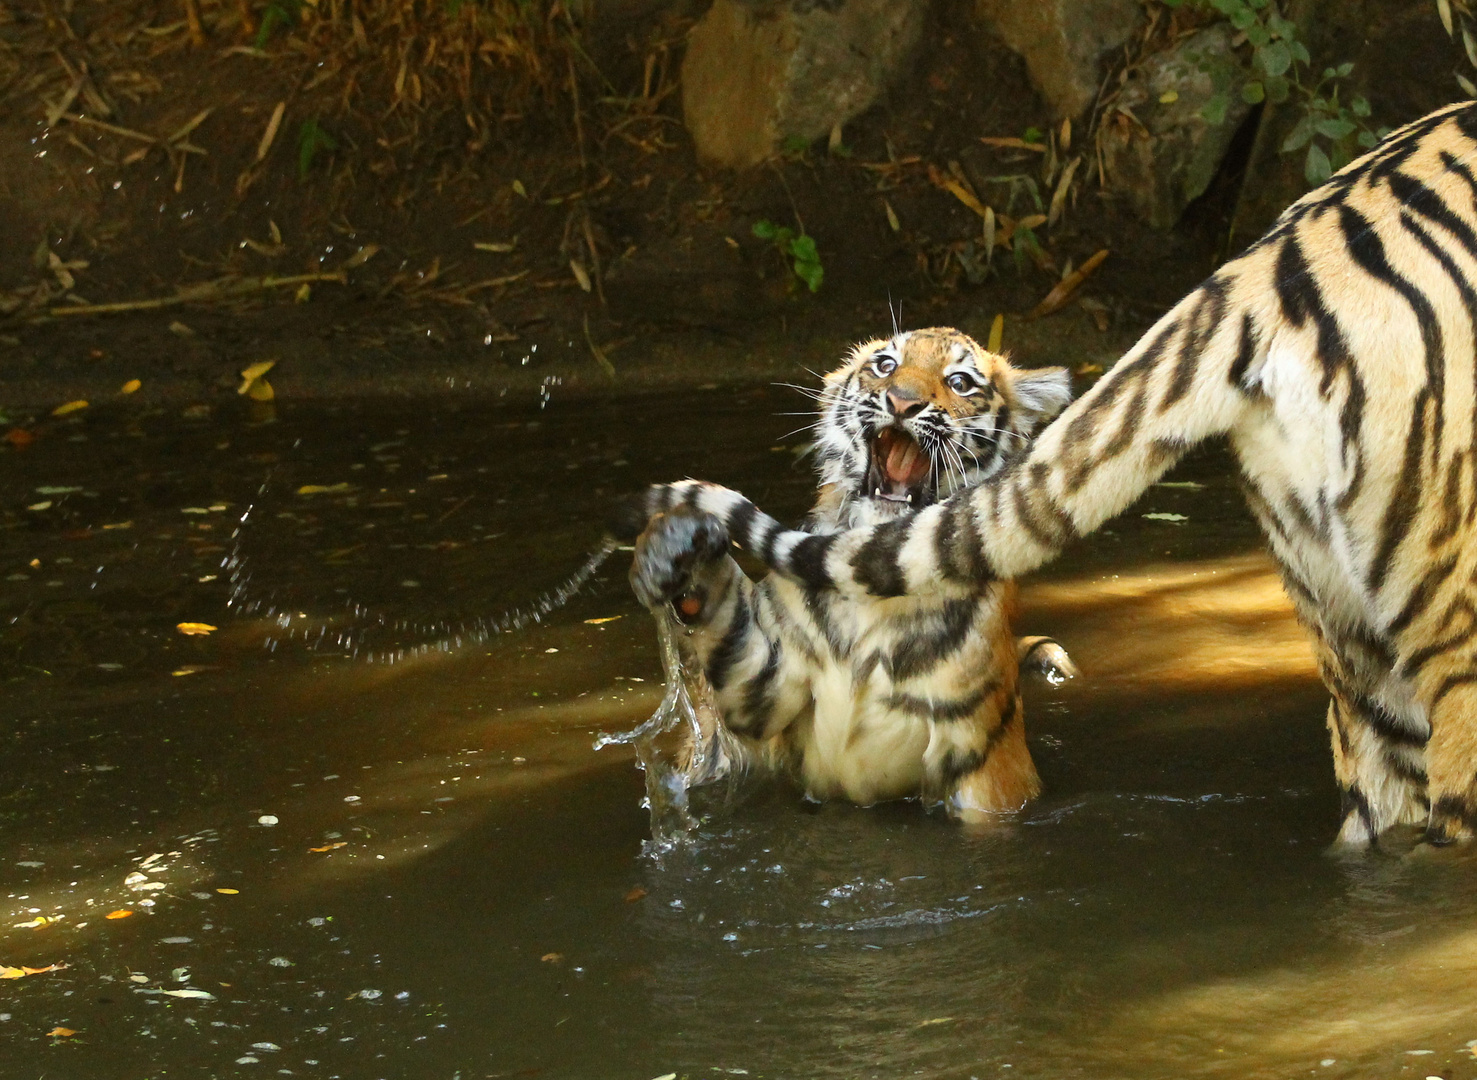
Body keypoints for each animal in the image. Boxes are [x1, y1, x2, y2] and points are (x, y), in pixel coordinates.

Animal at [623, 329, 1075, 821]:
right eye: (885, 365)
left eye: (960, 382)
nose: (901, 402)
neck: (874, 574)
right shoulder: (763, 686)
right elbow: (730, 626)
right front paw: (676, 545)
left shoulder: (981, 763)